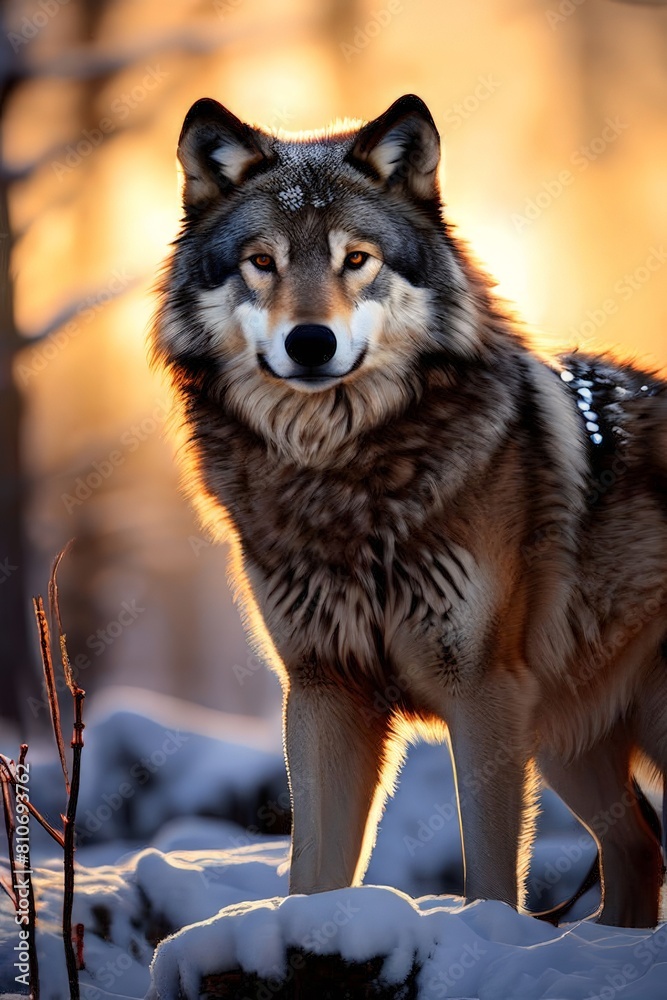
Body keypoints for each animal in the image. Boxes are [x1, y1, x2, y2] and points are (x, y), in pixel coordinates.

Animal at [153, 94, 667, 927]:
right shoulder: (323, 690)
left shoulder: (483, 692)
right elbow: (314, 872)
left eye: (356, 259)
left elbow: (489, 873)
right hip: (567, 742)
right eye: (262, 262)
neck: (339, 479)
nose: (309, 341)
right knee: (638, 848)